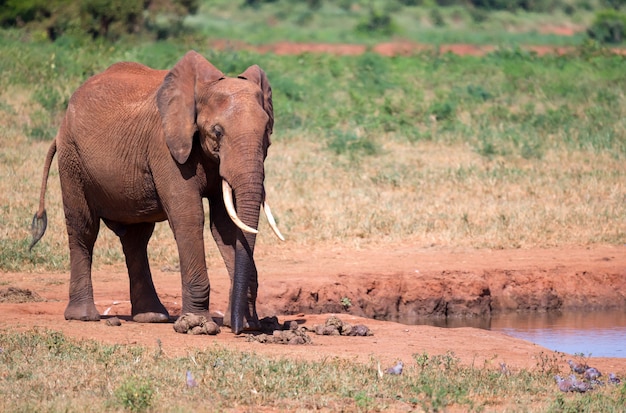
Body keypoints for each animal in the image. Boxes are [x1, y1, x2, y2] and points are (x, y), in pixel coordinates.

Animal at [29, 50, 282, 334]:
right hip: (72, 160)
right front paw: (196, 326)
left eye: (267, 131)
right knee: (83, 229)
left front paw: (248, 323)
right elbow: (189, 216)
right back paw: (83, 316)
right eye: (217, 131)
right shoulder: (165, 148)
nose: (240, 328)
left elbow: (225, 226)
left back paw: (152, 316)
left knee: (136, 238)